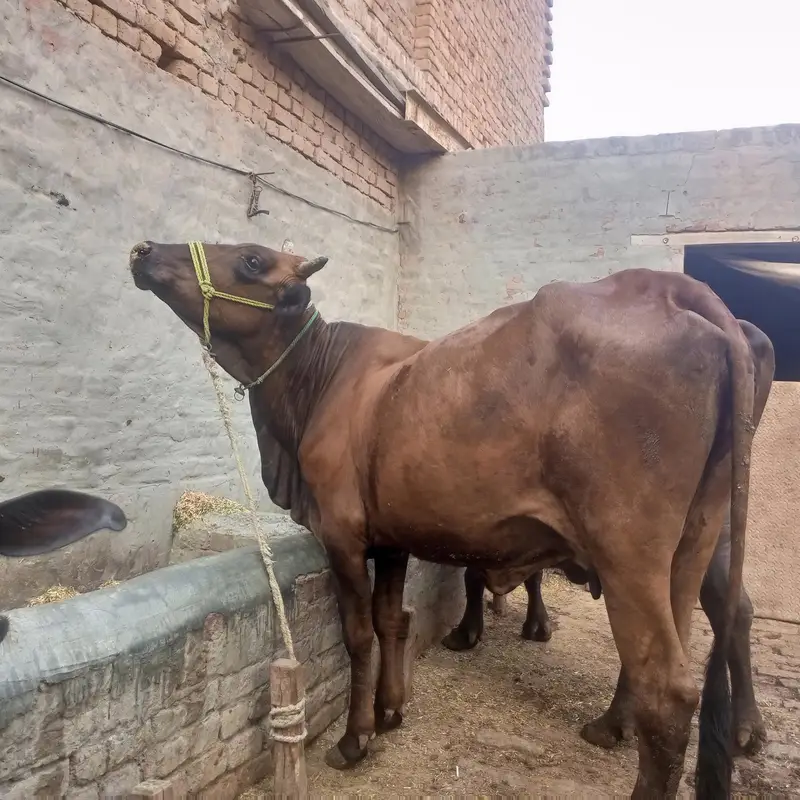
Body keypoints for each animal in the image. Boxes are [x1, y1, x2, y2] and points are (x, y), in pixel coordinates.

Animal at [131, 239, 774, 800]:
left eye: (251, 259)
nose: (143, 250)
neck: (318, 383)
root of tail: (675, 288)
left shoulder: (341, 533)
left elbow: (358, 634)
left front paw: (355, 738)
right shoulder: (389, 536)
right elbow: (392, 620)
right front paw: (390, 709)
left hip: (627, 552)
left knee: (668, 690)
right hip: (694, 543)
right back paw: (611, 726)